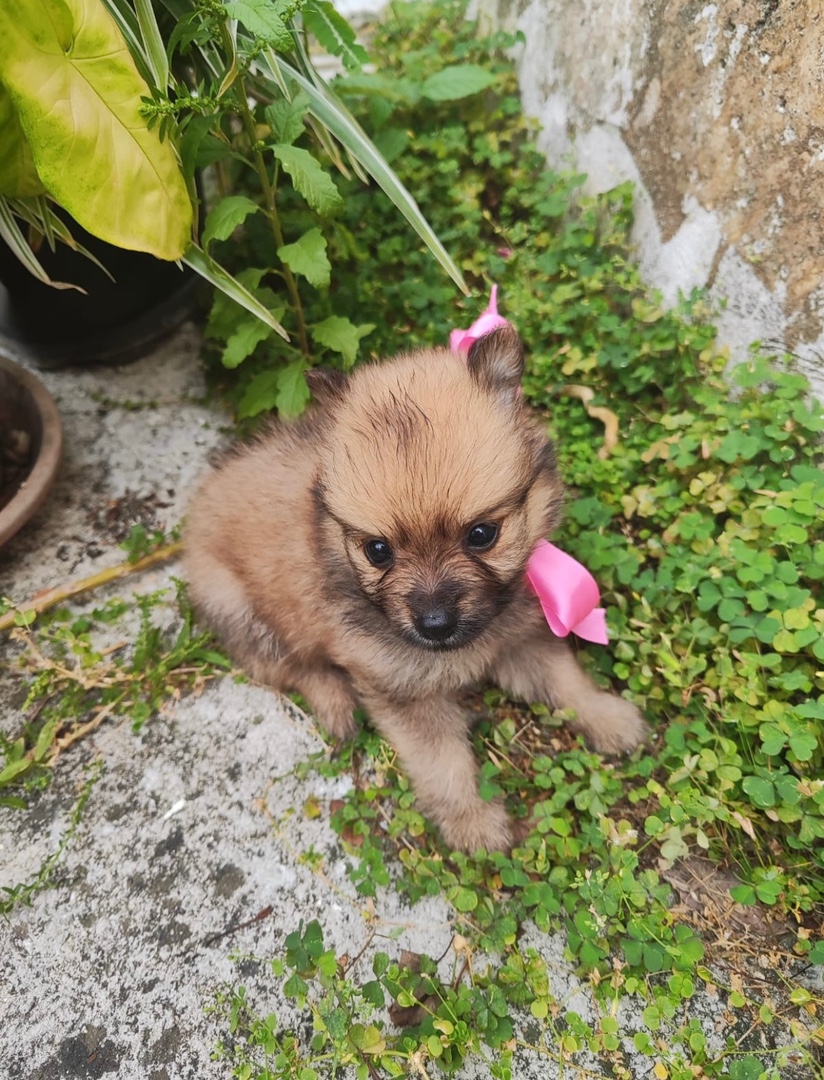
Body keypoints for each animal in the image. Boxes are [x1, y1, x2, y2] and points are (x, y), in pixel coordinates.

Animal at [183, 328, 647, 851]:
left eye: (482, 534)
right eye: (378, 550)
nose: (435, 625)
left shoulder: (521, 639)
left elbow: (567, 681)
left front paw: (609, 717)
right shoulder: (404, 692)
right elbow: (444, 763)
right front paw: (472, 821)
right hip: (239, 609)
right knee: (290, 667)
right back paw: (336, 703)